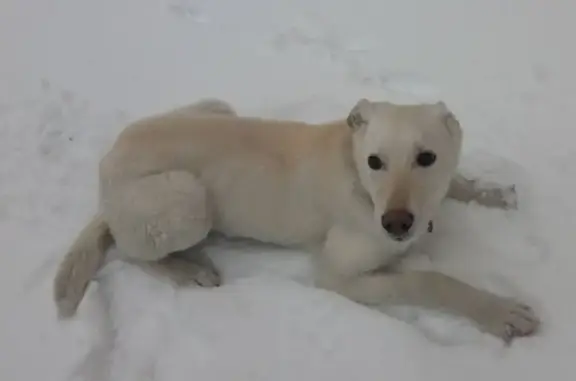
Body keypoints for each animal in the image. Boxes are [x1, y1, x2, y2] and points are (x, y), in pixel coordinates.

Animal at [53, 97, 540, 342]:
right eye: (375, 161)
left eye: (426, 158)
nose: (396, 223)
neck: (360, 180)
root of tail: (108, 160)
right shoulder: (337, 275)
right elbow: (427, 280)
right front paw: (499, 312)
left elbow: (458, 182)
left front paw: (492, 192)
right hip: (189, 198)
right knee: (130, 250)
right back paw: (189, 270)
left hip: (218, 105)